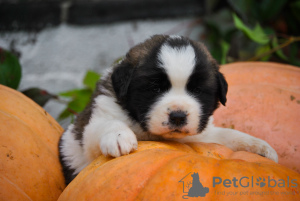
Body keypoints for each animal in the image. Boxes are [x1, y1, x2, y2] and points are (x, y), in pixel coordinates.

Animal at [59, 34, 278, 184]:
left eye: (197, 90)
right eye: (155, 88)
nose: (178, 117)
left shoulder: (201, 133)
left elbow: (227, 134)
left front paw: (259, 146)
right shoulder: (92, 131)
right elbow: (106, 125)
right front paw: (118, 136)